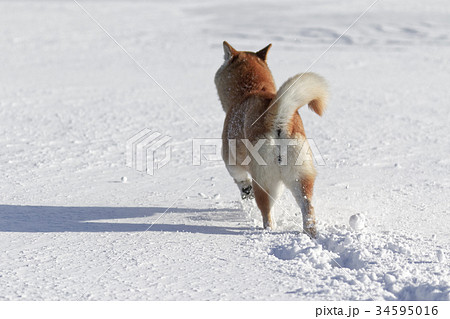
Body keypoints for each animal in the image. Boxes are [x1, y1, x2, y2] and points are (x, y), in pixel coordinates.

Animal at [214, 42, 326, 238]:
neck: (253, 89)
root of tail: (278, 120)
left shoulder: (231, 159)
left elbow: (240, 179)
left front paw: (246, 192)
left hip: (264, 181)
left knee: (267, 213)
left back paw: (266, 230)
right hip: (300, 177)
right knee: (308, 209)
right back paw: (310, 233)